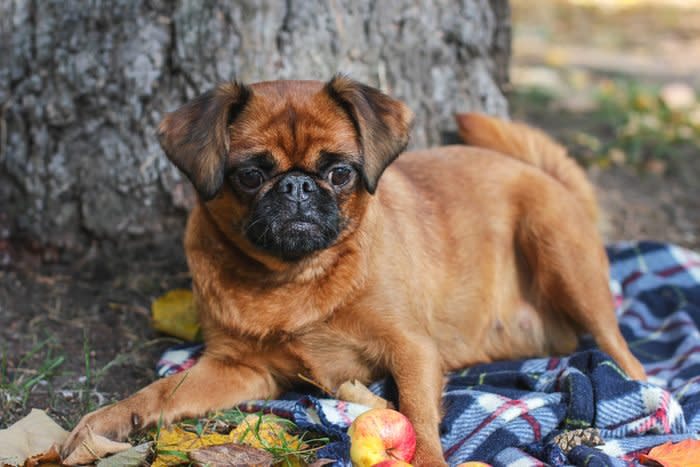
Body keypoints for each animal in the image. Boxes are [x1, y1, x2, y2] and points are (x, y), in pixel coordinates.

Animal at [61, 75, 644, 466]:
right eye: (250, 175)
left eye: (339, 173)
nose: (297, 186)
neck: (293, 279)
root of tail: (545, 176)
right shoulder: (238, 369)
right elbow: (162, 392)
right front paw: (110, 420)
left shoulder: (412, 350)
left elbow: (420, 418)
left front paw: (428, 457)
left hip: (559, 250)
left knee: (621, 350)